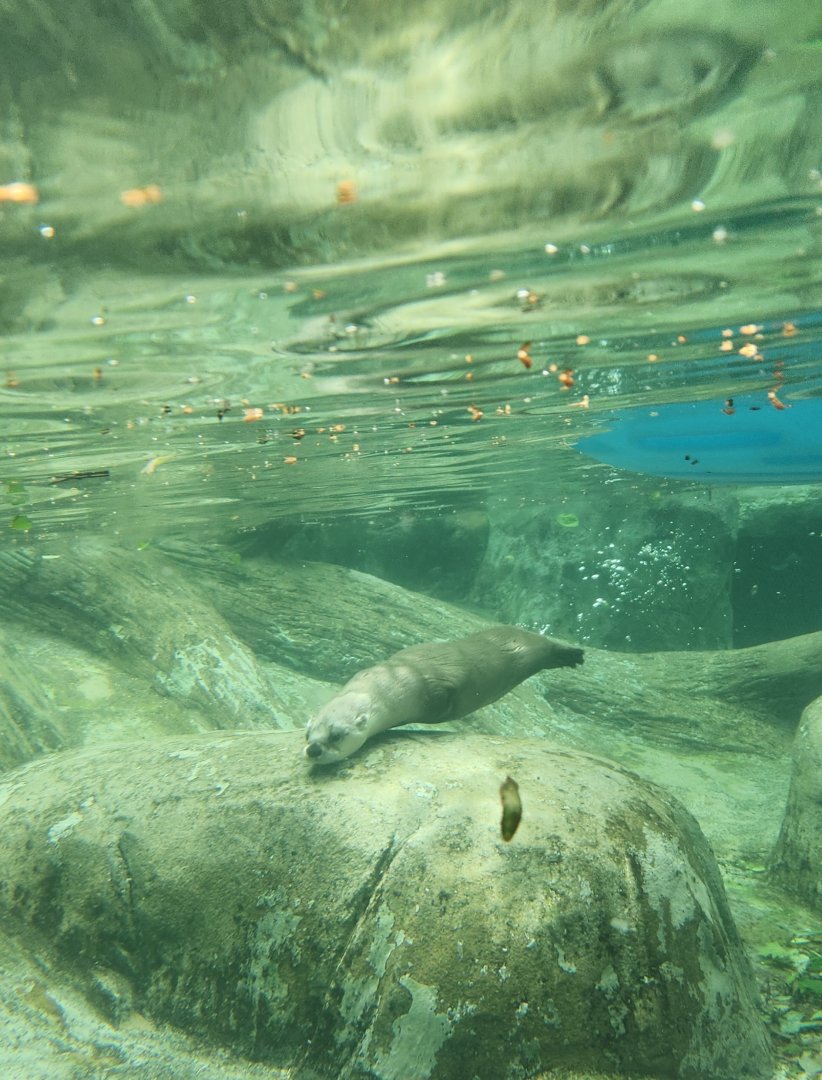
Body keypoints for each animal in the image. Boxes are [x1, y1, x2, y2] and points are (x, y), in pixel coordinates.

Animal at [304, 625, 583, 764]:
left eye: (336, 735)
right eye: (308, 734)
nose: (314, 750)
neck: (397, 679)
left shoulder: (433, 689)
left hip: (527, 649)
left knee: (547, 645)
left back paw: (571, 654)